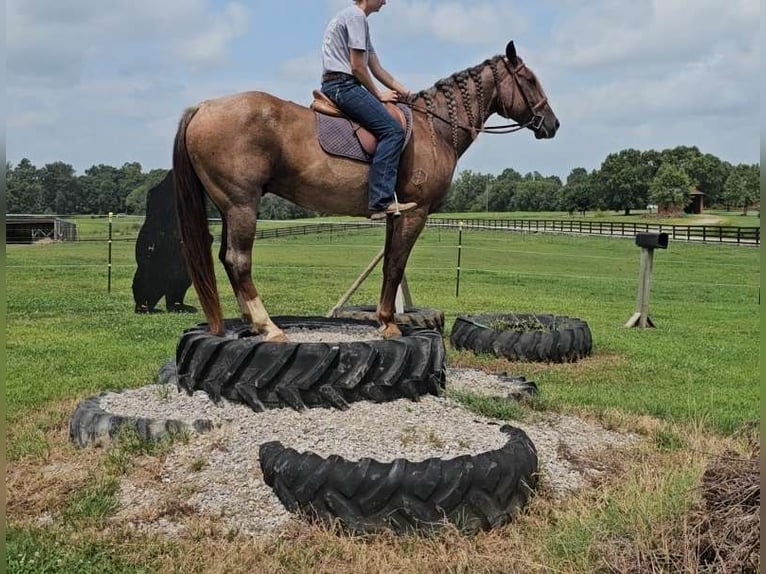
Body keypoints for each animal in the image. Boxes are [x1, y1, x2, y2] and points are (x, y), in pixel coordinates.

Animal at [173, 41, 559, 342]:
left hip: (230, 207)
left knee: (227, 258)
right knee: (239, 260)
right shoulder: (415, 214)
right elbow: (395, 266)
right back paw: (267, 326)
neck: (432, 128)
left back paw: (251, 323)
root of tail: (204, 107)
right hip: (242, 205)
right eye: (529, 80)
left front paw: (385, 318)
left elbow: (390, 265)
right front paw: (388, 323)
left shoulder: (396, 214)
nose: (552, 124)